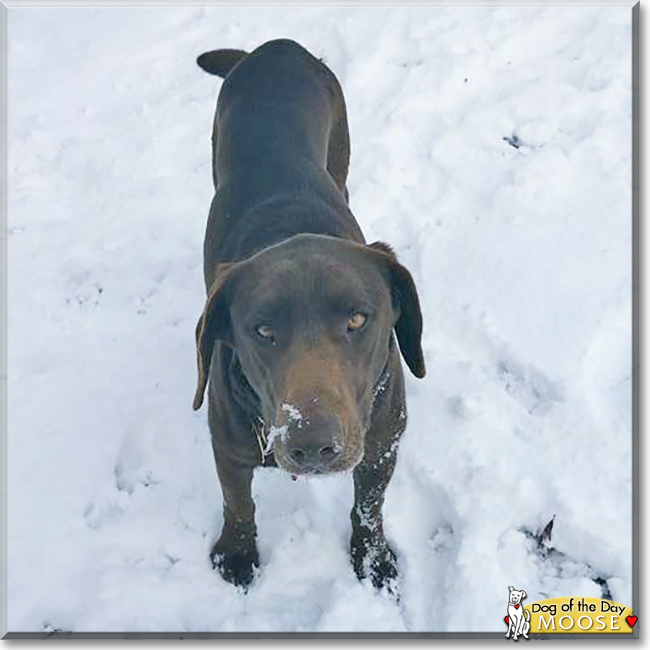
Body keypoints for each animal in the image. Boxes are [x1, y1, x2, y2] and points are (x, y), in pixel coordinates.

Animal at [192, 38, 426, 588]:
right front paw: (237, 553)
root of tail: (276, 45)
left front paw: (372, 559)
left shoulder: (383, 441)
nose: (313, 445)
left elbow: (369, 506)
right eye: (262, 330)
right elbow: (238, 502)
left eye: (358, 320)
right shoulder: (226, 445)